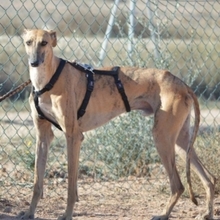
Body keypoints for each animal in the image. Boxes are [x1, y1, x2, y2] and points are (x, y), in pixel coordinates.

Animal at [19, 29, 216, 220]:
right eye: (28, 42)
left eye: (44, 42)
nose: (34, 62)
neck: (48, 80)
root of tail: (182, 83)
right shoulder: (43, 136)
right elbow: (37, 182)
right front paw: (29, 213)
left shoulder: (73, 136)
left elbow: (70, 186)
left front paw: (67, 215)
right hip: (180, 142)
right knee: (210, 179)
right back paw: (207, 213)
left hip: (162, 138)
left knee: (178, 185)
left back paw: (164, 214)